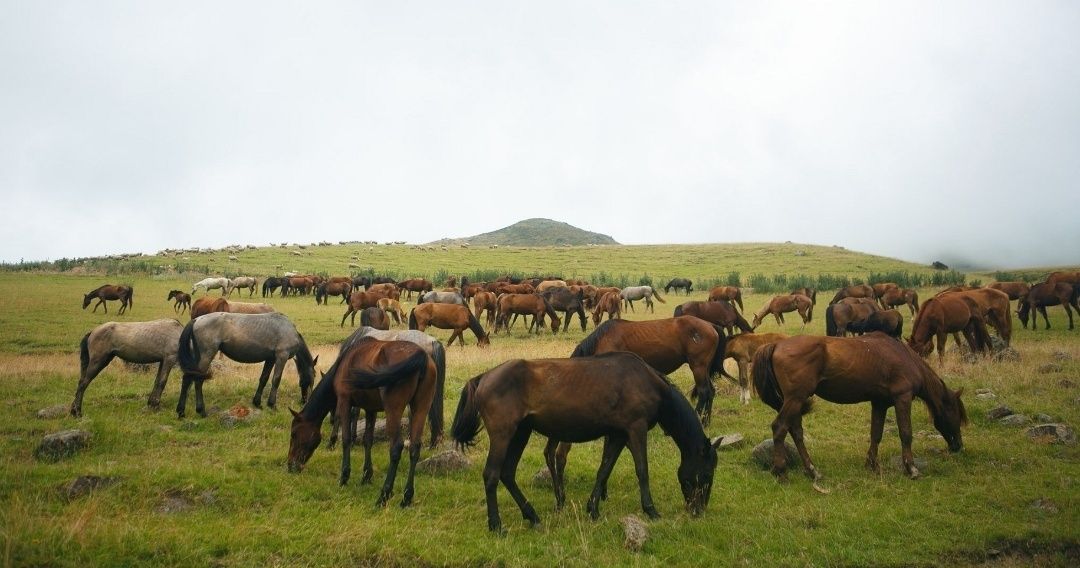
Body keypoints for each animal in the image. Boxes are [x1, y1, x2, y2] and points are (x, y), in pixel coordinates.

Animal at [176, 310, 315, 418]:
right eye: (312, 378)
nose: (305, 401)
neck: (288, 329)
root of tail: (196, 320)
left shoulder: (270, 359)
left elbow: (264, 379)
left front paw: (257, 403)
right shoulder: (281, 356)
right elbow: (276, 380)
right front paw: (272, 405)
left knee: (187, 379)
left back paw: (181, 412)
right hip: (206, 355)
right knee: (197, 381)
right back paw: (201, 411)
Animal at [289, 336, 440, 509]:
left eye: (294, 434)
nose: (290, 465)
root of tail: (421, 356)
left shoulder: (344, 401)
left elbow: (346, 439)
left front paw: (344, 477)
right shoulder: (370, 410)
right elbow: (368, 440)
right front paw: (367, 476)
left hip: (394, 409)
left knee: (396, 446)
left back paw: (383, 495)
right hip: (421, 407)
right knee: (414, 448)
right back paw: (406, 498)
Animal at [451, 352, 721, 535]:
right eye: (707, 474)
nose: (699, 510)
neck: (649, 382)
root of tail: (483, 377)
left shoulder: (618, 434)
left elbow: (604, 470)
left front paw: (593, 509)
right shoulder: (636, 428)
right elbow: (642, 470)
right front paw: (650, 510)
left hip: (520, 433)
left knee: (507, 473)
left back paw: (533, 516)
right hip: (504, 434)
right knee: (492, 475)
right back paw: (496, 524)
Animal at [570, 317, 730, 425]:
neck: (603, 340)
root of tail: (711, 325)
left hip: (698, 367)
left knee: (704, 392)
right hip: (705, 369)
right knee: (711, 392)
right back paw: (706, 422)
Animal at [751, 336, 972, 483]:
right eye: (957, 414)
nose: (958, 445)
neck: (905, 358)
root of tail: (776, 344)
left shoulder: (880, 403)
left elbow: (876, 434)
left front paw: (872, 465)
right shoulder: (902, 398)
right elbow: (906, 434)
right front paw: (911, 469)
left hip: (795, 401)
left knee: (795, 432)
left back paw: (812, 471)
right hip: (795, 399)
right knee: (780, 428)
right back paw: (781, 471)